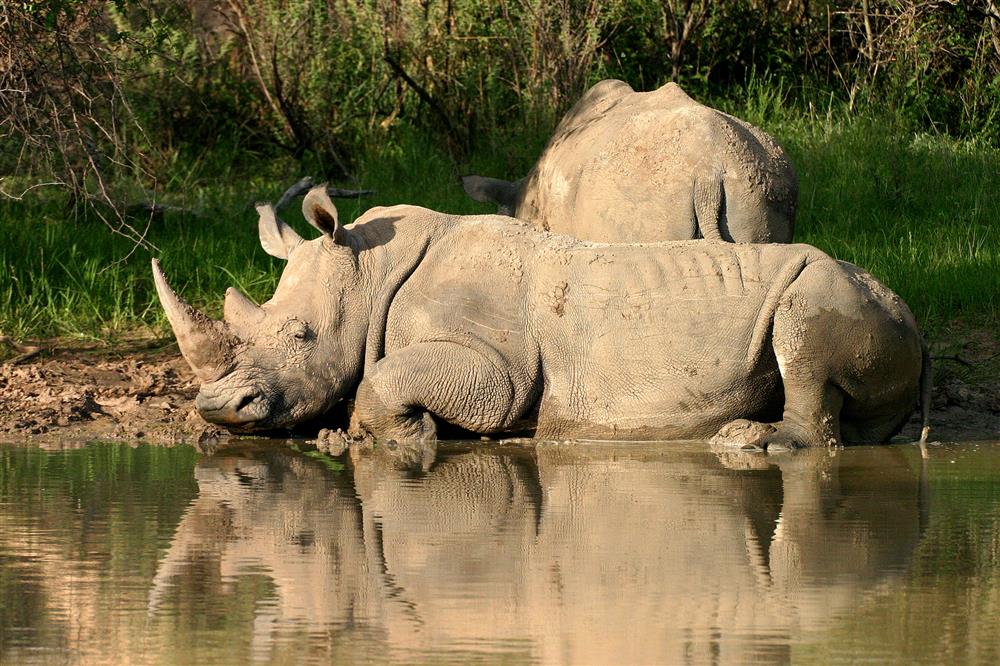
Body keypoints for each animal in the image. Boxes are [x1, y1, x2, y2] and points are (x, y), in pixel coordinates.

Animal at [154, 187, 928, 446]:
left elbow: (393, 380)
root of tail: (910, 309)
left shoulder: (493, 367)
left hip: (829, 288)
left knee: (805, 339)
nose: (218, 408)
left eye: (303, 335)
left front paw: (403, 438)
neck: (370, 272)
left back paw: (747, 444)